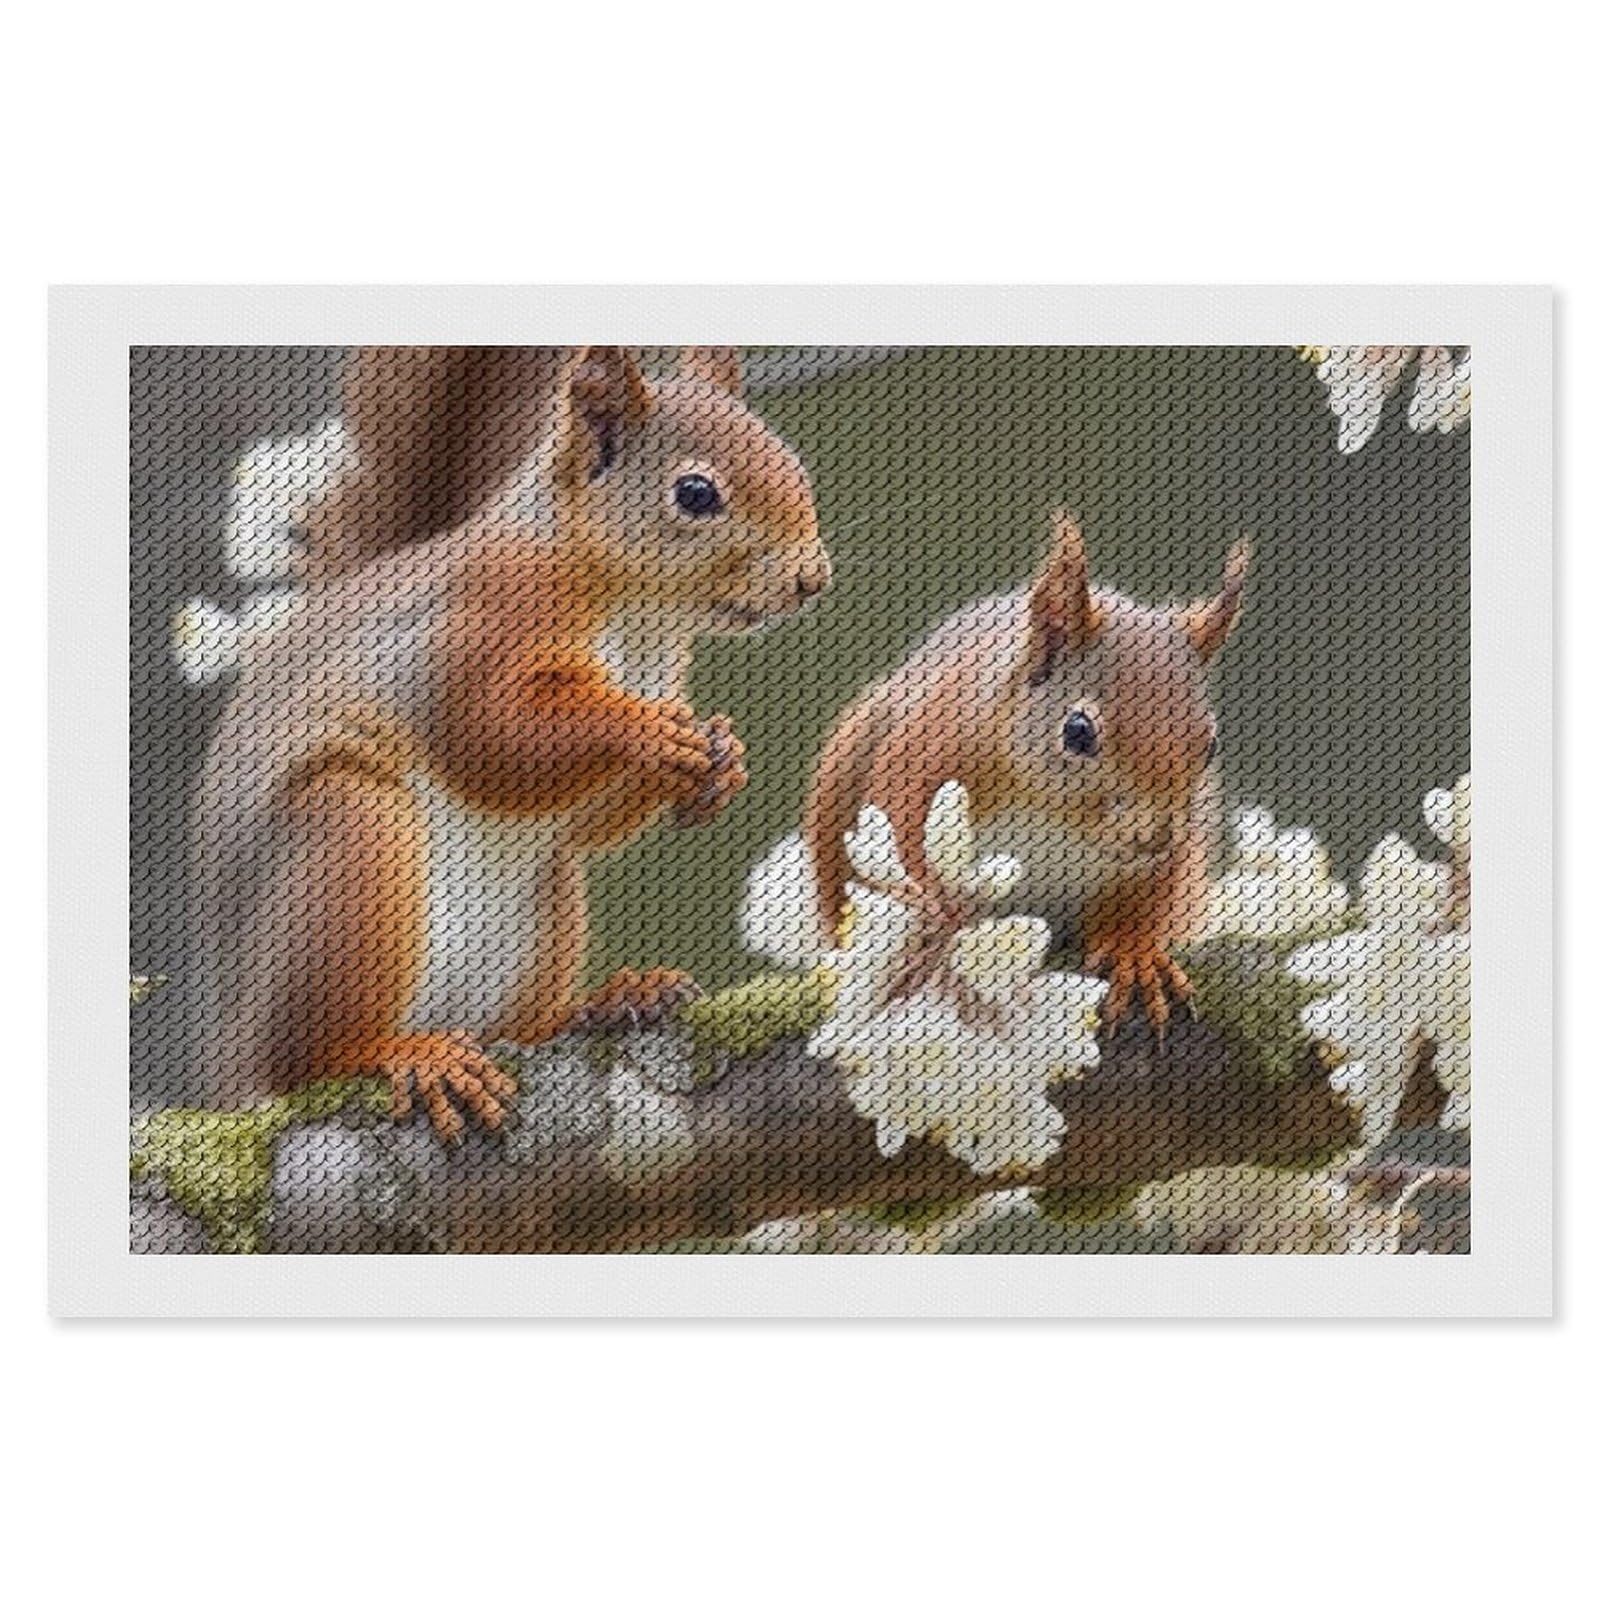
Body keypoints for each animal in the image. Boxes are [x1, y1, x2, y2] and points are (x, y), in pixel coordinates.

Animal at [190, 344, 831, 1141]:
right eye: (695, 493)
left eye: (793, 462)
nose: (812, 578)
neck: (639, 612)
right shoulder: (468, 635)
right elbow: (492, 741)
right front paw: (640, 730)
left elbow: (586, 822)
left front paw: (720, 757)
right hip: (347, 845)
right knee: (306, 1062)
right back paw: (405, 1055)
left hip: (548, 906)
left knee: (520, 1023)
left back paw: (611, 1001)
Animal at [796, 507, 1248, 1033]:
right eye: (1077, 732)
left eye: (1211, 745)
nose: (1151, 837)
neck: (1054, 814)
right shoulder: (925, 760)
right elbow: (906, 844)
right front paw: (935, 925)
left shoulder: (1166, 861)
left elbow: (1143, 904)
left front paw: (1134, 952)